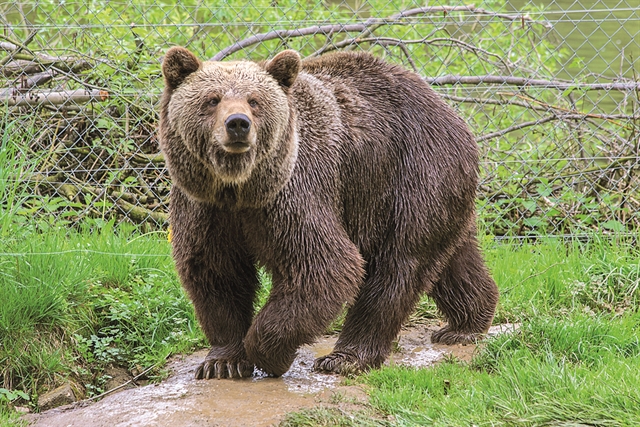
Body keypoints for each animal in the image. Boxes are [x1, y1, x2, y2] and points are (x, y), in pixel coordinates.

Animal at [159, 46, 500, 380]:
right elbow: (216, 273)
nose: (238, 124)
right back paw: (466, 324)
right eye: (212, 99)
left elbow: (324, 267)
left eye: (254, 100)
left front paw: (270, 354)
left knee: (399, 263)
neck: (241, 188)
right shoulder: (205, 206)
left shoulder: (295, 192)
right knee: (453, 258)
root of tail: (448, 109)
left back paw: (347, 357)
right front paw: (222, 362)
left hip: (411, 173)